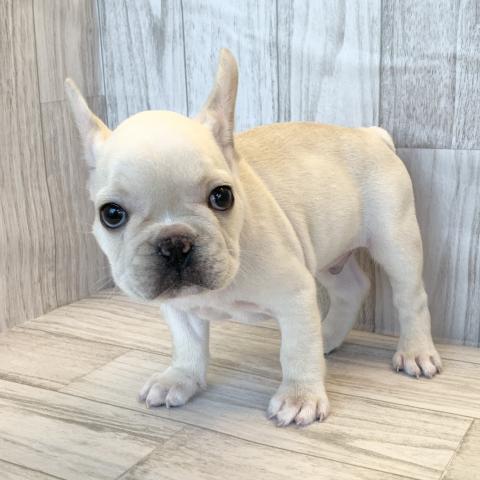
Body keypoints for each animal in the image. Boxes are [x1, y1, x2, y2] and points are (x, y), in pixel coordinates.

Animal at [65, 48, 442, 426]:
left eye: (222, 196)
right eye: (111, 214)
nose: (175, 243)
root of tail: (370, 135)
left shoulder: (294, 294)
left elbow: (296, 349)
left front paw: (300, 397)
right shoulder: (180, 307)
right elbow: (187, 344)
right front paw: (180, 378)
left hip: (396, 240)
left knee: (410, 296)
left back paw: (415, 350)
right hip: (326, 252)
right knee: (351, 289)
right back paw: (327, 336)